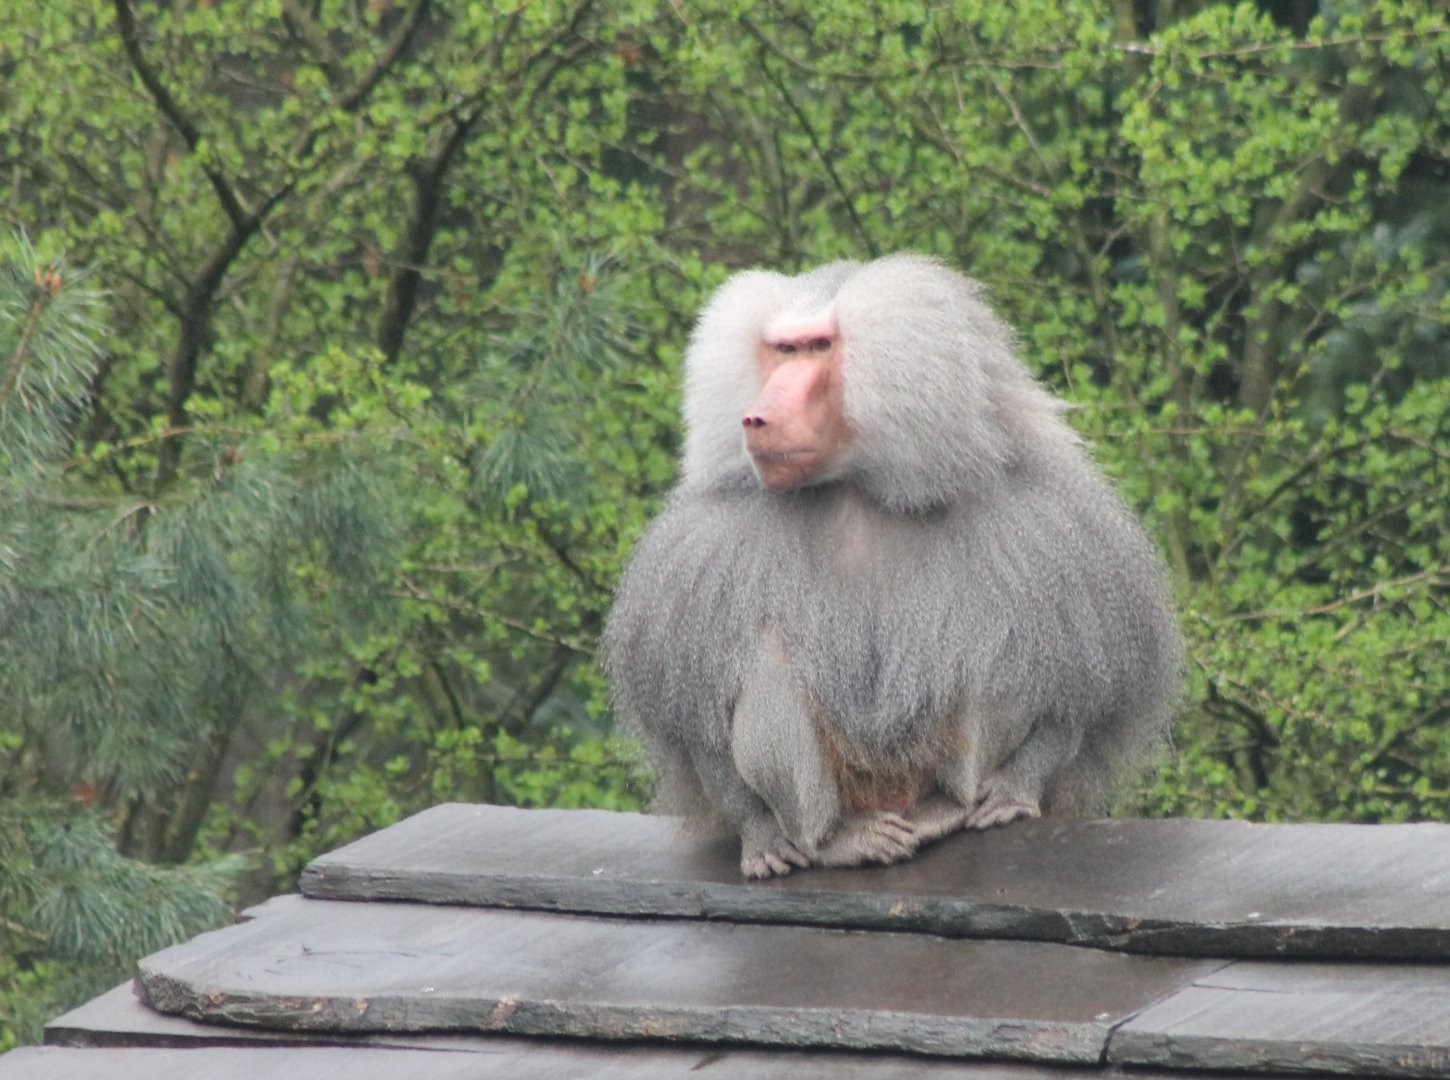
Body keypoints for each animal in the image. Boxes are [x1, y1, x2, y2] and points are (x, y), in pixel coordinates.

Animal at [603, 254, 1181, 879]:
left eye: (819, 347)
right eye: (782, 350)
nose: (757, 418)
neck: (856, 486)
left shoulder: (1046, 518)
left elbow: (1086, 690)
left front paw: (1017, 789)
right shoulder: (705, 546)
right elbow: (695, 723)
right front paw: (759, 833)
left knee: (985, 642)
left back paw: (952, 808)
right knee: (773, 659)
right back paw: (833, 841)